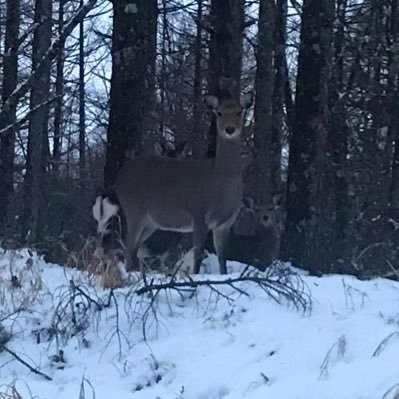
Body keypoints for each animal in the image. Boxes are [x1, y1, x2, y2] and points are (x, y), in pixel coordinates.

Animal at [94, 94, 253, 276]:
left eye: (239, 112)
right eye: (219, 113)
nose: (229, 129)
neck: (220, 184)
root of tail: (119, 178)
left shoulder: (225, 223)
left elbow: (222, 259)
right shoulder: (199, 214)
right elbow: (198, 254)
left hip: (151, 221)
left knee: (133, 247)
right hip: (134, 210)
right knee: (128, 245)